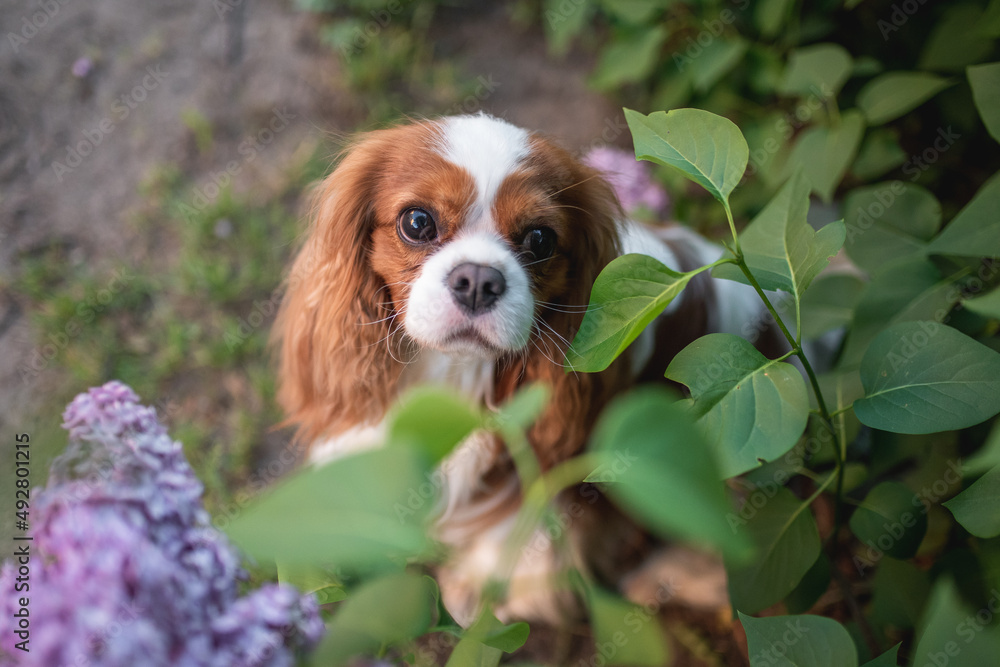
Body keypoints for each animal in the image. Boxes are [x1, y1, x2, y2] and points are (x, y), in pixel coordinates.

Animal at [274, 115, 764, 628]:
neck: (455, 372)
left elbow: (517, 536)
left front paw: (483, 594)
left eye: (540, 239)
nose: (477, 280)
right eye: (417, 222)